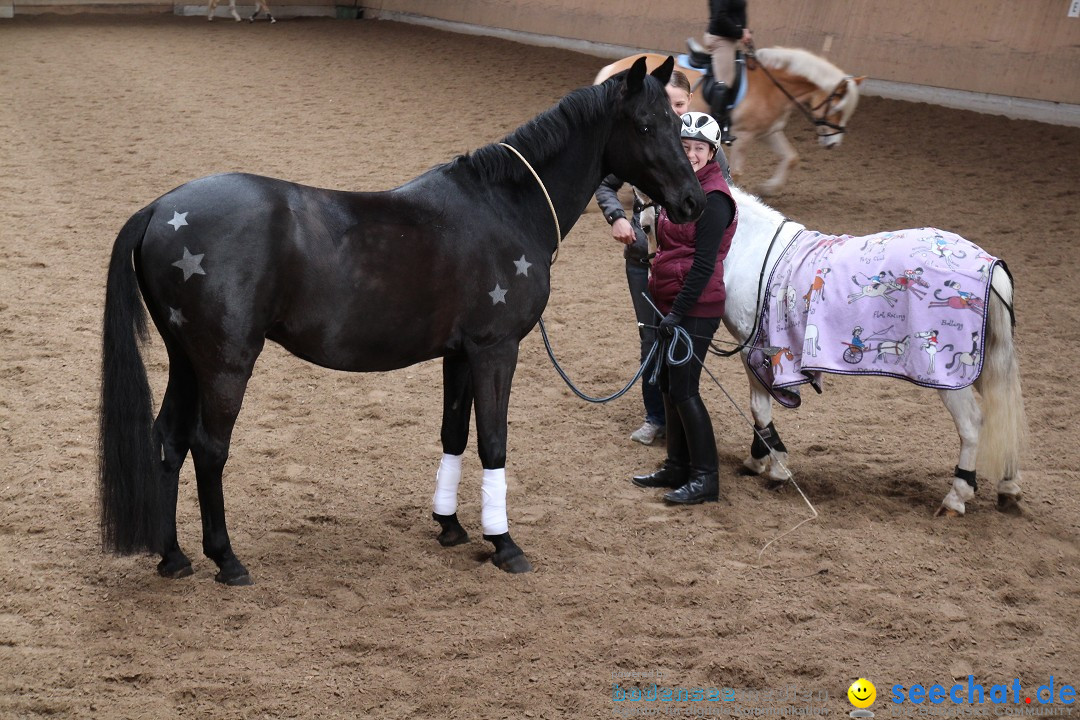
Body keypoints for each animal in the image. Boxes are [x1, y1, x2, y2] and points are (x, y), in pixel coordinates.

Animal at [101, 56, 704, 587]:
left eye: (677, 121)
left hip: (187, 359)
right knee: (208, 449)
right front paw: (504, 543)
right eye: (646, 124)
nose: (692, 202)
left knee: (169, 440)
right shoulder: (495, 349)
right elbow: (493, 441)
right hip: (225, 363)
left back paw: (173, 557)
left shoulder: (460, 354)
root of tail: (161, 208)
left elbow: (454, 434)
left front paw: (450, 525)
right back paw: (226, 560)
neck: (506, 206)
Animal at [596, 48, 864, 195]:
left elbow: (791, 158)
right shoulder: (744, 136)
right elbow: (737, 171)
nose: (833, 143)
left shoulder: (769, 132)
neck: (771, 86)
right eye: (838, 108)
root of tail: (614, 67)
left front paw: (769, 188)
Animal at [721, 188, 1023, 518]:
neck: (752, 247)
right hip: (983, 365)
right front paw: (760, 459)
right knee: (1003, 413)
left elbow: (759, 407)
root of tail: (991, 267)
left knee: (971, 424)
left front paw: (771, 466)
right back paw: (1008, 487)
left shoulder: (753, 348)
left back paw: (956, 497)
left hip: (951, 380)